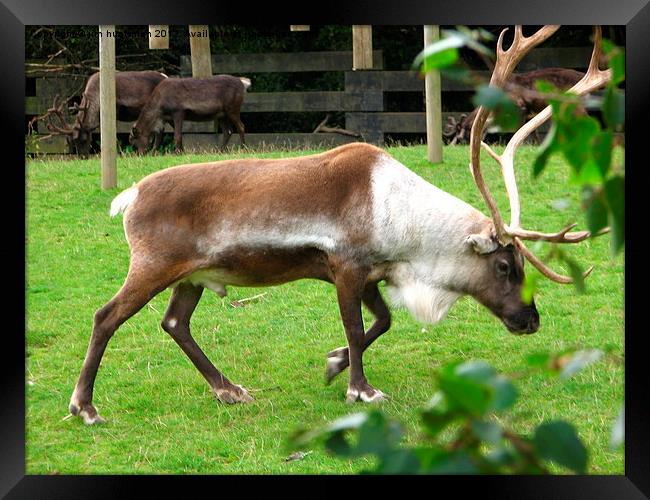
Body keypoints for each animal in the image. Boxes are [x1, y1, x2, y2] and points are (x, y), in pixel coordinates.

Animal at [68, 26, 612, 426]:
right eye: (503, 265)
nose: (531, 320)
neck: (404, 227)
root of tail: (130, 197)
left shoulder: (372, 273)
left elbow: (383, 322)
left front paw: (333, 364)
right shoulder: (345, 266)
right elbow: (355, 326)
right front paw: (361, 389)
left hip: (195, 275)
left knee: (174, 323)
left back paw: (228, 389)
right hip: (154, 264)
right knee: (105, 316)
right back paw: (85, 406)